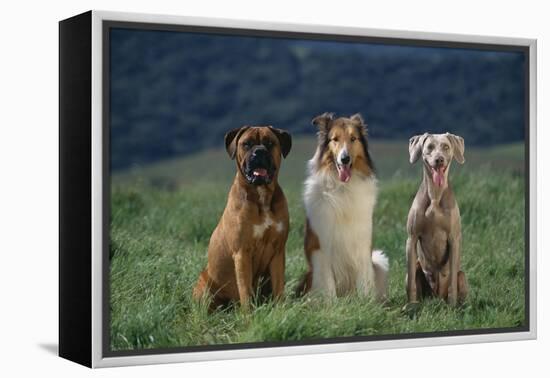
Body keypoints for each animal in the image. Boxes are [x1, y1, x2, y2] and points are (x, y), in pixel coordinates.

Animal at [193, 125, 294, 308]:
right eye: (246, 144)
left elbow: (279, 287)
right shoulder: (242, 253)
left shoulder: (277, 252)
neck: (262, 197)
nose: (259, 151)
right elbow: (245, 290)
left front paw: (280, 309)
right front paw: (248, 314)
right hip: (205, 284)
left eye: (270, 143)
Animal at [296, 112, 390, 298]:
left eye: (353, 138)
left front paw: (364, 302)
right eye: (335, 139)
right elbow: (328, 285)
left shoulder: (362, 245)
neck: (343, 188)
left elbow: (364, 282)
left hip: (379, 262)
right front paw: (331, 304)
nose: (344, 159)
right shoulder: (322, 247)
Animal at [406, 131, 470, 308]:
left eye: (446, 147)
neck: (435, 195)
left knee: (458, 279)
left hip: (462, 276)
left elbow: (452, 284)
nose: (439, 159)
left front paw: (452, 307)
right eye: (429, 147)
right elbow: (411, 283)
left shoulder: (454, 239)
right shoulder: (411, 238)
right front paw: (410, 306)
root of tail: (436, 298)